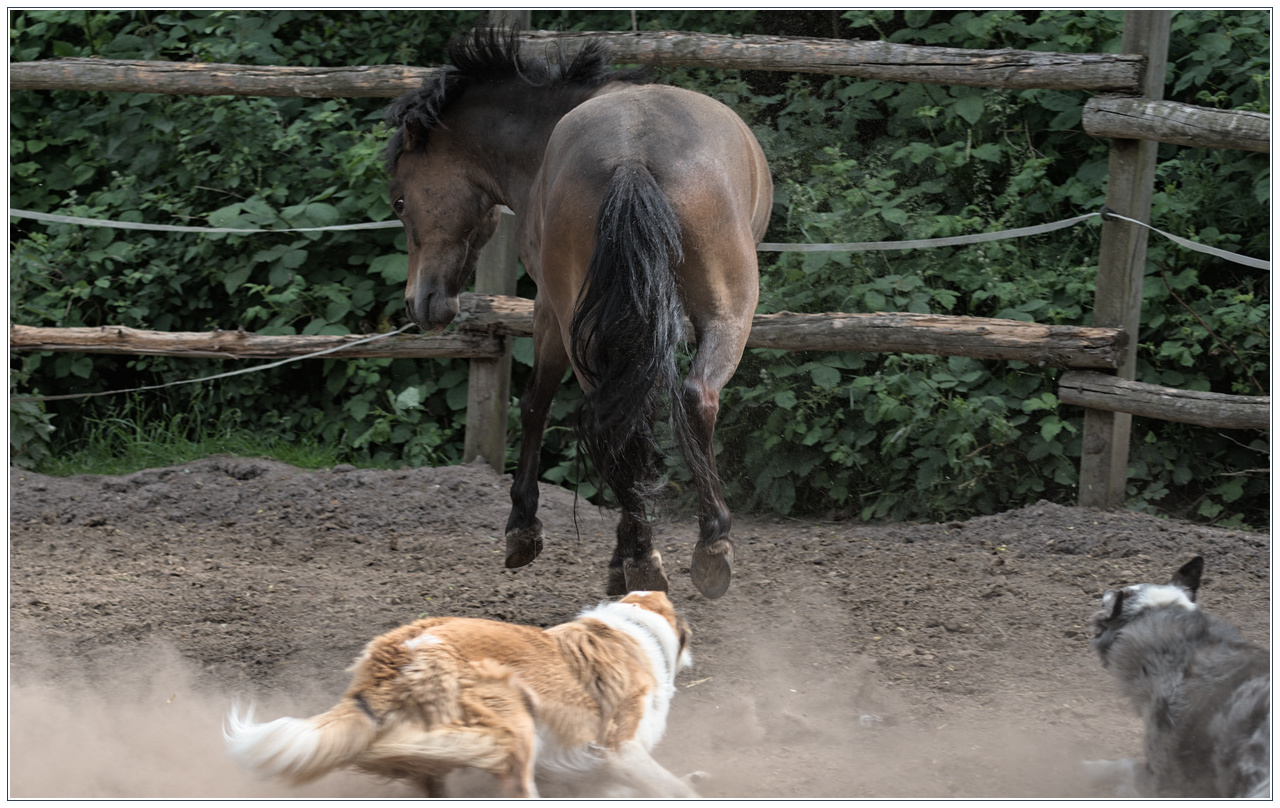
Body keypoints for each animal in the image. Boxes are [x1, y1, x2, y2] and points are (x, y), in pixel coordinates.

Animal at [384, 26, 768, 601]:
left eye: (401, 202)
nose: (420, 302)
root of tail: (633, 156)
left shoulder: (547, 310)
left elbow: (534, 404)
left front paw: (523, 528)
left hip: (599, 326)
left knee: (628, 419)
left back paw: (663, 554)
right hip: (722, 315)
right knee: (683, 402)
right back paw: (696, 550)